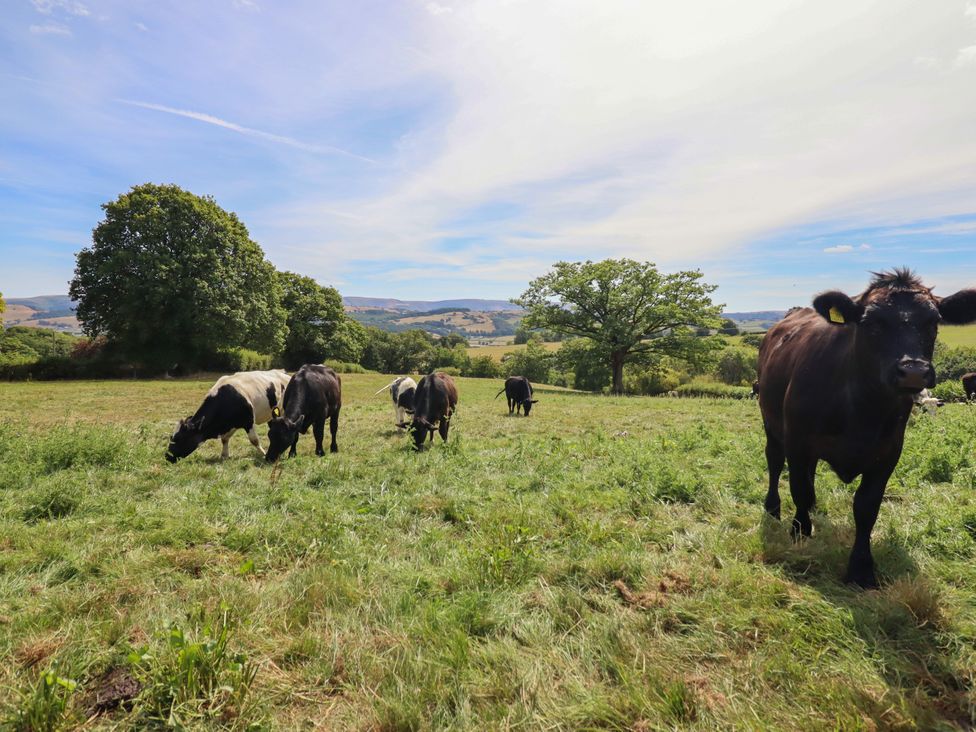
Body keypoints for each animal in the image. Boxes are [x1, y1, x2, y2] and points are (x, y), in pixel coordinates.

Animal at [758, 269, 976, 588]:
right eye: (871, 322)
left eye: (933, 321)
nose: (913, 371)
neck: (862, 408)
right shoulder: (798, 441)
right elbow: (800, 489)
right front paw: (799, 531)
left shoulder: (888, 453)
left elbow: (866, 507)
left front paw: (861, 568)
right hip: (771, 421)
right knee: (775, 461)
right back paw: (773, 508)